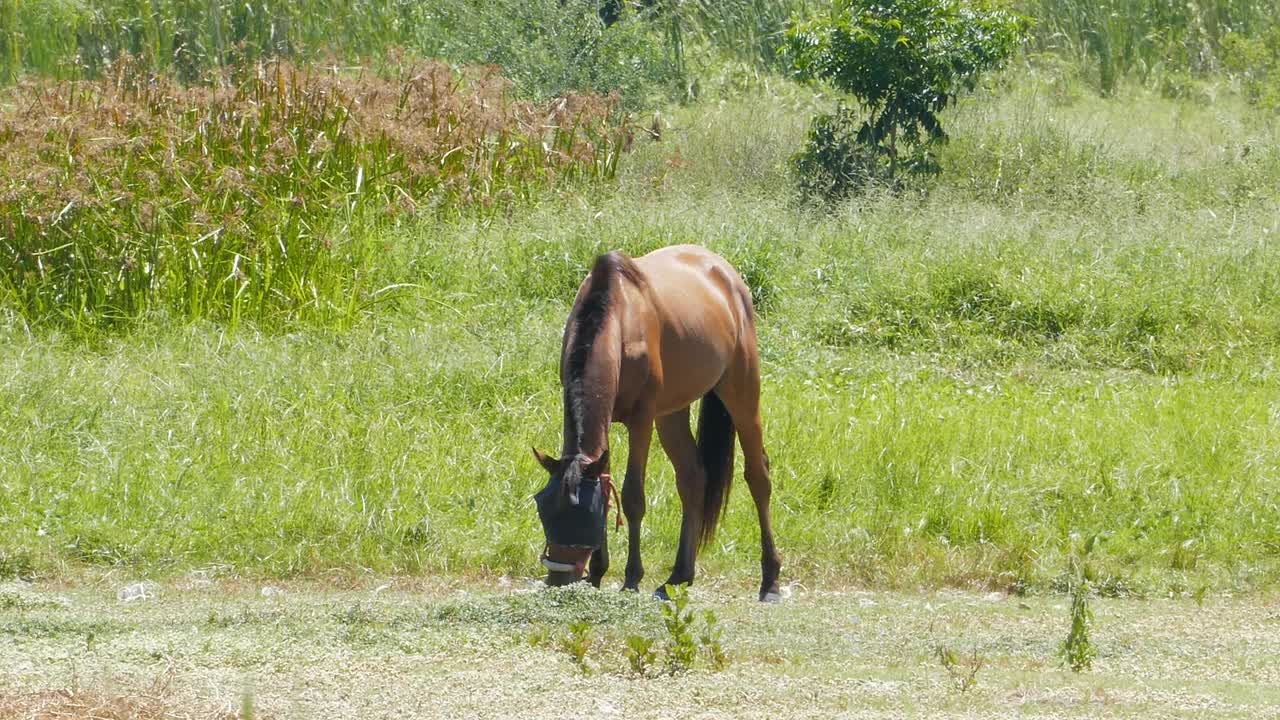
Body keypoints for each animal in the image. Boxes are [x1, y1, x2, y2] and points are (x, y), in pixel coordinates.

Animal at [529, 243, 778, 597]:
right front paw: (598, 572)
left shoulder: (641, 420)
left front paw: (632, 577)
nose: (558, 579)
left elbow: (633, 496)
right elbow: (606, 484)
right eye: (544, 508)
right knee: (693, 478)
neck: (617, 319)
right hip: (671, 414)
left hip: (741, 392)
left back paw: (771, 579)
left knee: (758, 477)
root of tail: (725, 272)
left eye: (581, 513)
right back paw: (679, 576)